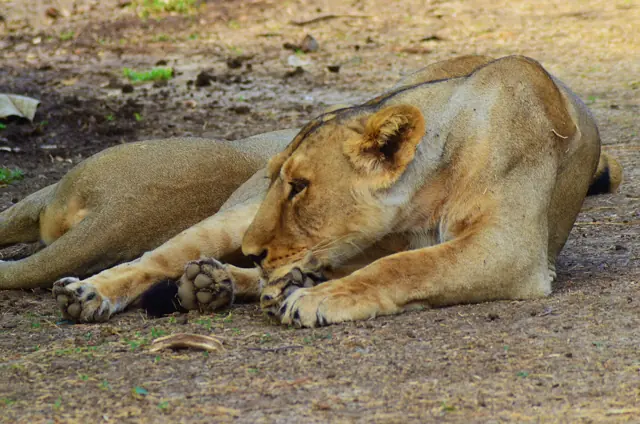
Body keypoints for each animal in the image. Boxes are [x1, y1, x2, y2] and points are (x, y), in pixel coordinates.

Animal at [0, 55, 622, 326]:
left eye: (300, 187)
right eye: (282, 179)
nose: (252, 249)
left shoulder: (508, 246)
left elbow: (405, 266)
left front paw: (313, 297)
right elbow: (400, 264)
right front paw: (305, 293)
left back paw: (217, 284)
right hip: (229, 217)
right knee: (157, 257)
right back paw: (97, 292)